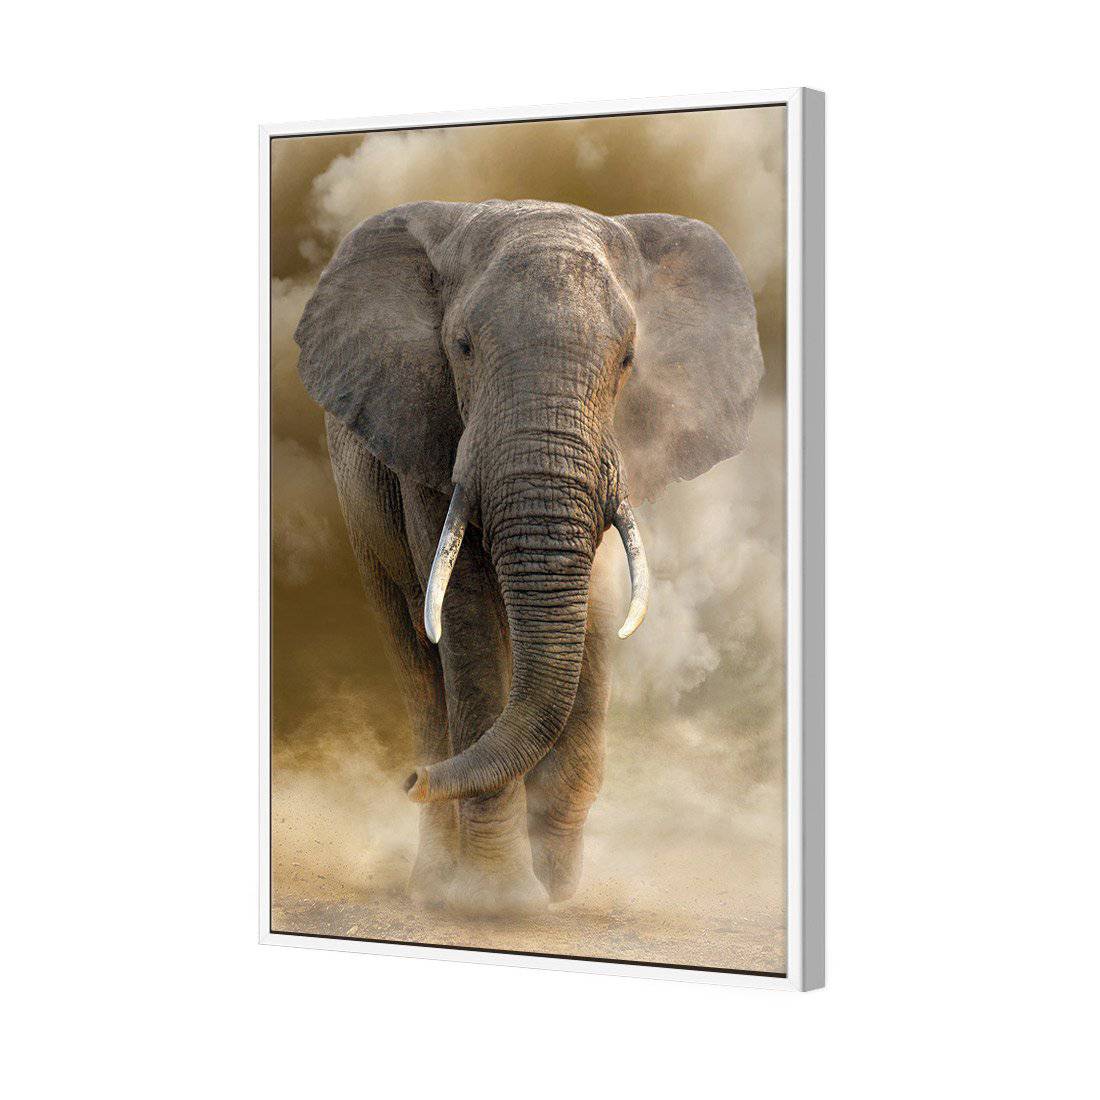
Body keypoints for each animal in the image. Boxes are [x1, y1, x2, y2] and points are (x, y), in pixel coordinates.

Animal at [294, 198, 763, 915]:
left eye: (628, 360)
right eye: (462, 348)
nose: (412, 780)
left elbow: (596, 613)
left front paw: (556, 892)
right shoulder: (428, 436)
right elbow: (466, 621)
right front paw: (498, 903)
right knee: (416, 654)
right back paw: (434, 881)